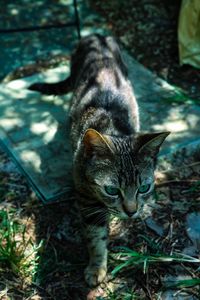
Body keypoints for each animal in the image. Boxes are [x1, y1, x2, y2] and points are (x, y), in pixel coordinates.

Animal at [29, 34, 170, 288]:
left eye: (144, 187)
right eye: (112, 190)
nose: (132, 212)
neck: (110, 126)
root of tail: (95, 34)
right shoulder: (85, 199)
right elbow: (95, 237)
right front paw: (97, 266)